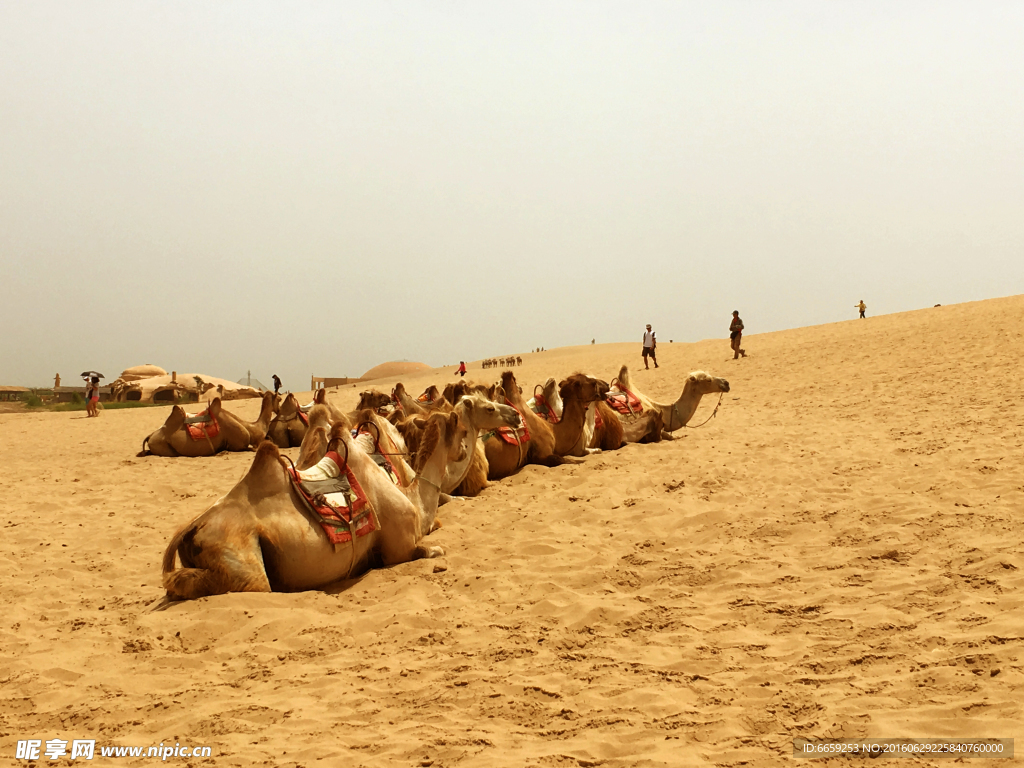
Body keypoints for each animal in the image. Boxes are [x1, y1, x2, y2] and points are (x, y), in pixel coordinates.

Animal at [161, 409, 462, 602]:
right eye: (461, 430)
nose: (462, 452)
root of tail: (191, 528)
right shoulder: (399, 548)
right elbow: (434, 550)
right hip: (241, 563)